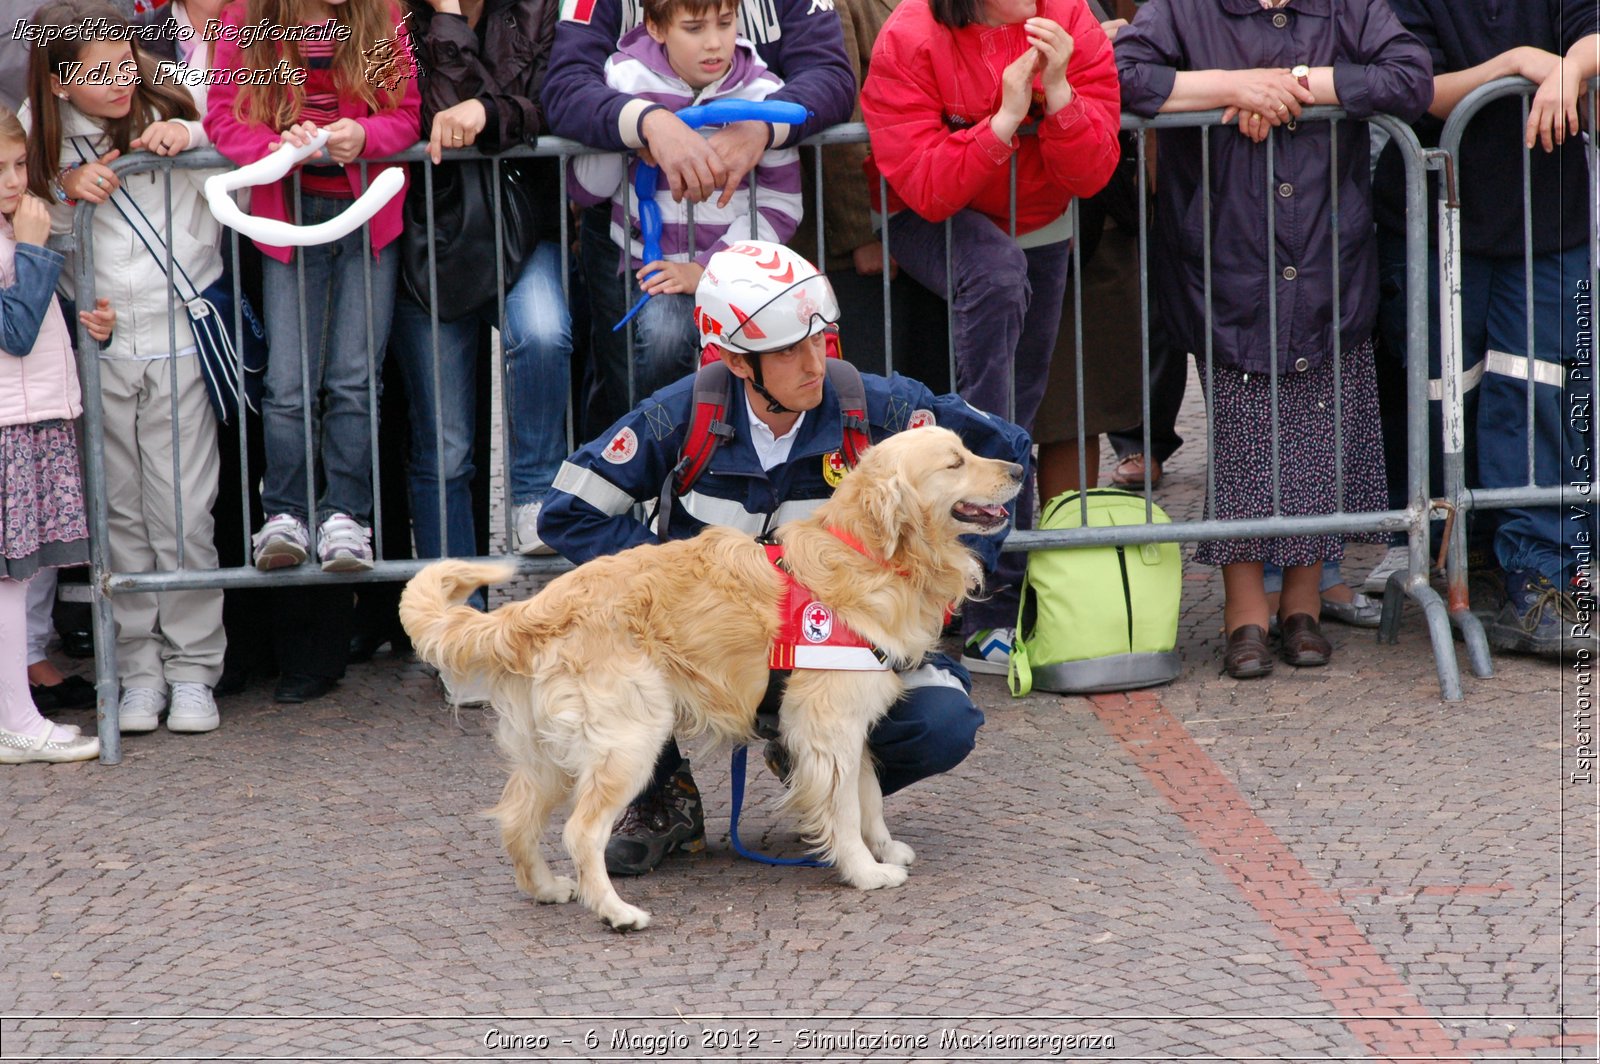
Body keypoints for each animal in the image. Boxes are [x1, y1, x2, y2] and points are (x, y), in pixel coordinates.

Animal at [403, 425, 1024, 928]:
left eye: (968, 448)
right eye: (955, 462)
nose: (1019, 470)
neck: (868, 553)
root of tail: (532, 609)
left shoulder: (851, 725)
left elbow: (867, 794)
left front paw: (885, 849)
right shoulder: (828, 727)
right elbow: (845, 808)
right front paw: (864, 872)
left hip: (549, 753)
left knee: (515, 818)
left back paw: (548, 888)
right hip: (631, 737)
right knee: (581, 832)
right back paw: (615, 912)